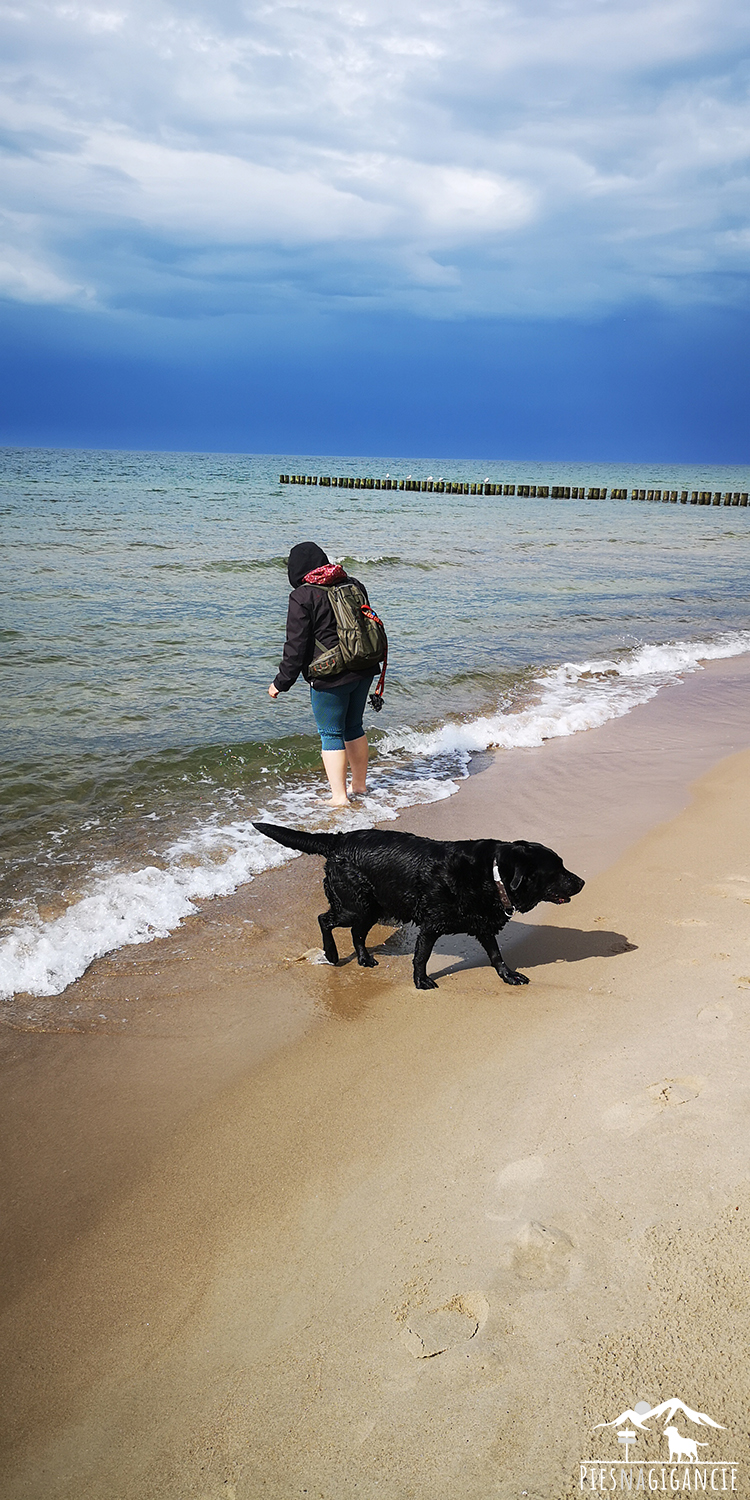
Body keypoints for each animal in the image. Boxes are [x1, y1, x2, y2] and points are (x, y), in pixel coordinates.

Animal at [252, 828, 585, 990]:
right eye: (557, 870)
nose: (581, 881)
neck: (492, 875)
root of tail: (338, 840)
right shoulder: (431, 925)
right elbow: (421, 956)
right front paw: (421, 981)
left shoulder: (483, 923)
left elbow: (496, 955)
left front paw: (509, 976)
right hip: (353, 905)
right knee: (325, 919)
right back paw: (332, 955)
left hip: (371, 908)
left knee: (358, 933)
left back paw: (364, 959)